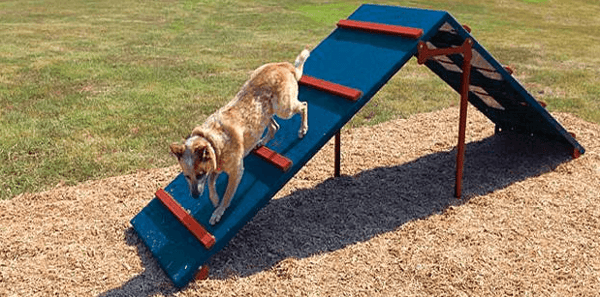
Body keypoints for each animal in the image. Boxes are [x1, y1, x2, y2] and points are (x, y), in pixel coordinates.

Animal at [169, 48, 310, 224]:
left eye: (199, 174)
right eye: (187, 176)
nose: (194, 196)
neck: (213, 141)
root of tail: (282, 65)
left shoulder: (236, 171)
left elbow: (226, 194)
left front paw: (218, 211)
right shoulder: (216, 166)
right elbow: (211, 182)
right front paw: (214, 199)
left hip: (284, 108)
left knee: (303, 105)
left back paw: (303, 129)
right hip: (265, 113)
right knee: (274, 126)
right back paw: (261, 141)